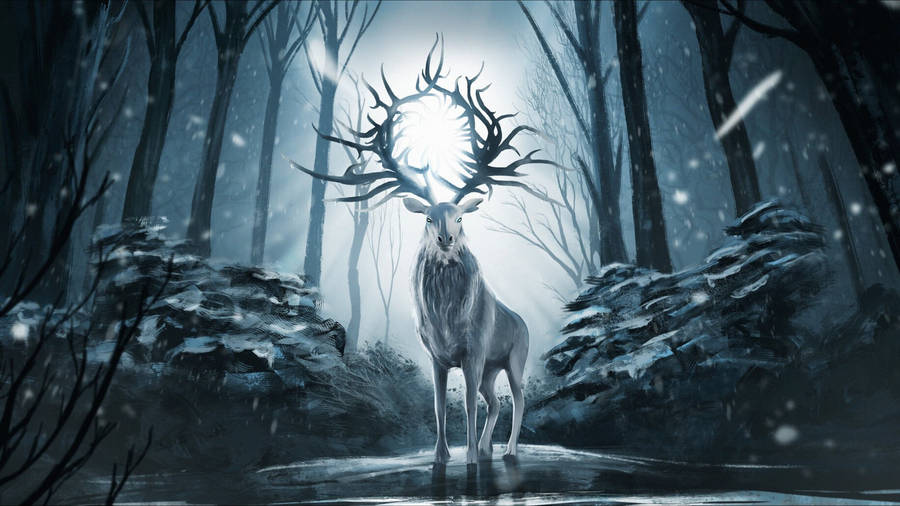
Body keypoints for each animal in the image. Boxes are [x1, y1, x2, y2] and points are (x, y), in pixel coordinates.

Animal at [291, 35, 556, 466]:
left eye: (460, 217)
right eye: (429, 218)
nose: (446, 239)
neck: (446, 319)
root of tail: (523, 321)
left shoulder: (474, 351)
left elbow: (465, 404)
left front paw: (468, 458)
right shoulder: (436, 356)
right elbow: (437, 404)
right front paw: (441, 456)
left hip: (515, 356)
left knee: (518, 398)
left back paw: (508, 450)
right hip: (491, 369)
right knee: (496, 401)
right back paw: (489, 447)